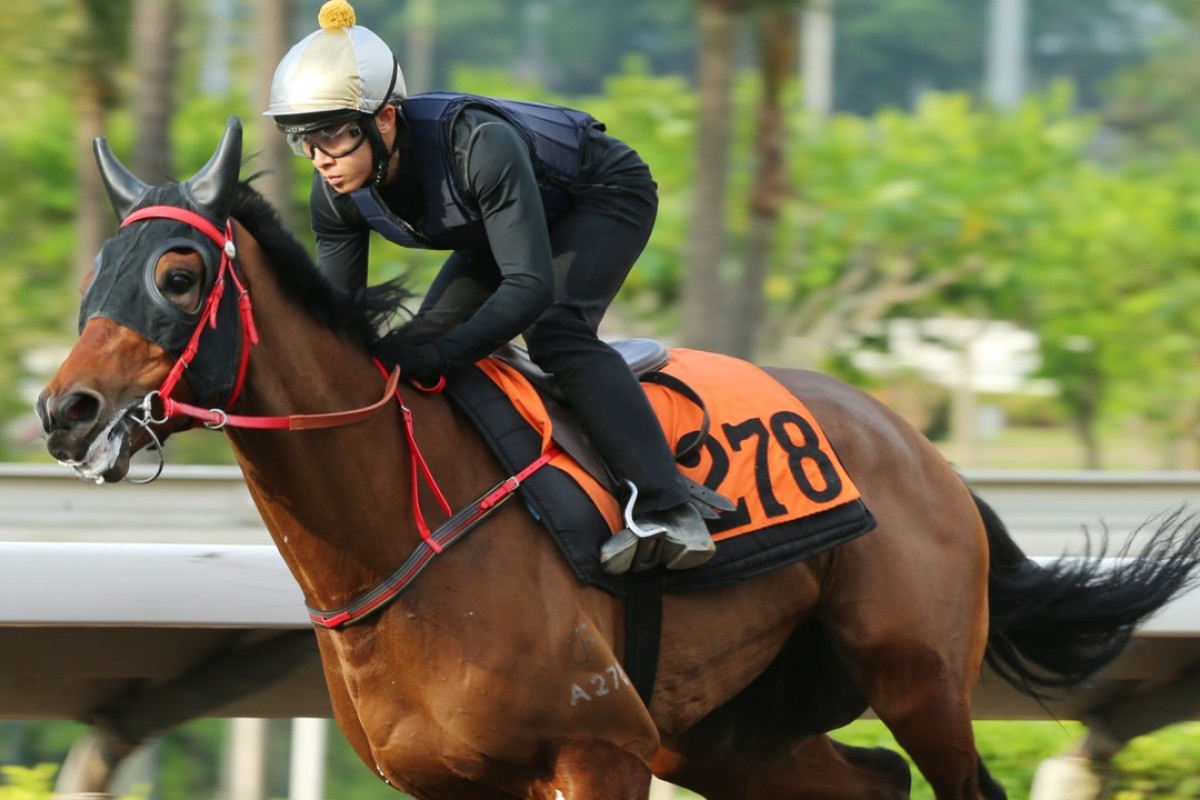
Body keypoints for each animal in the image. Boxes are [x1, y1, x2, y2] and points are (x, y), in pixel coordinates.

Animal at [37, 115, 1200, 796]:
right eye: (96, 269)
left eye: (179, 274)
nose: (63, 409)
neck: (399, 539)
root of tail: (930, 457)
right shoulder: (453, 781)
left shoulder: (598, 750)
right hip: (730, 732)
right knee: (868, 779)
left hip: (914, 674)